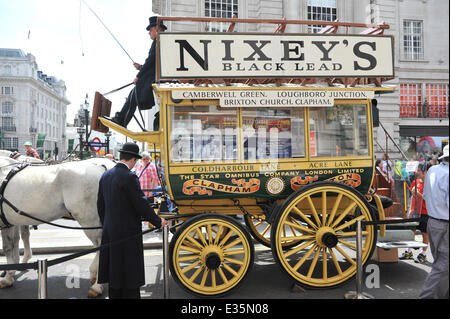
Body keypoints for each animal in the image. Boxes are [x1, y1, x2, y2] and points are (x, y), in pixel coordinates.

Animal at [0, 157, 115, 298]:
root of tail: (101, 167)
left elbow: (7, 247)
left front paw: (8, 276)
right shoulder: (11, 221)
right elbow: (14, 242)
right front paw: (12, 271)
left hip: (89, 220)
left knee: (101, 246)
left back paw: (97, 285)